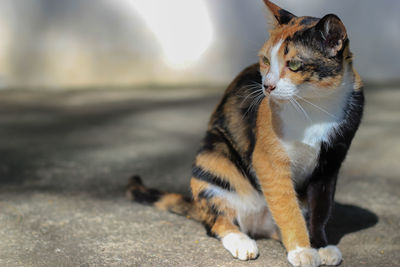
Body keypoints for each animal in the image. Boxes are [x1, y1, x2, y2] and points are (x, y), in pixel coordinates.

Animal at [126, 1, 364, 266]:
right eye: (265, 60)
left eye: (294, 65)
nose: (267, 86)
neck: (314, 108)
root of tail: (258, 225)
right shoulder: (268, 160)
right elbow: (287, 207)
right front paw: (302, 250)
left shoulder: (330, 162)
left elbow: (320, 208)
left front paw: (321, 246)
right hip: (213, 157)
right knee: (218, 222)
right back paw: (241, 241)